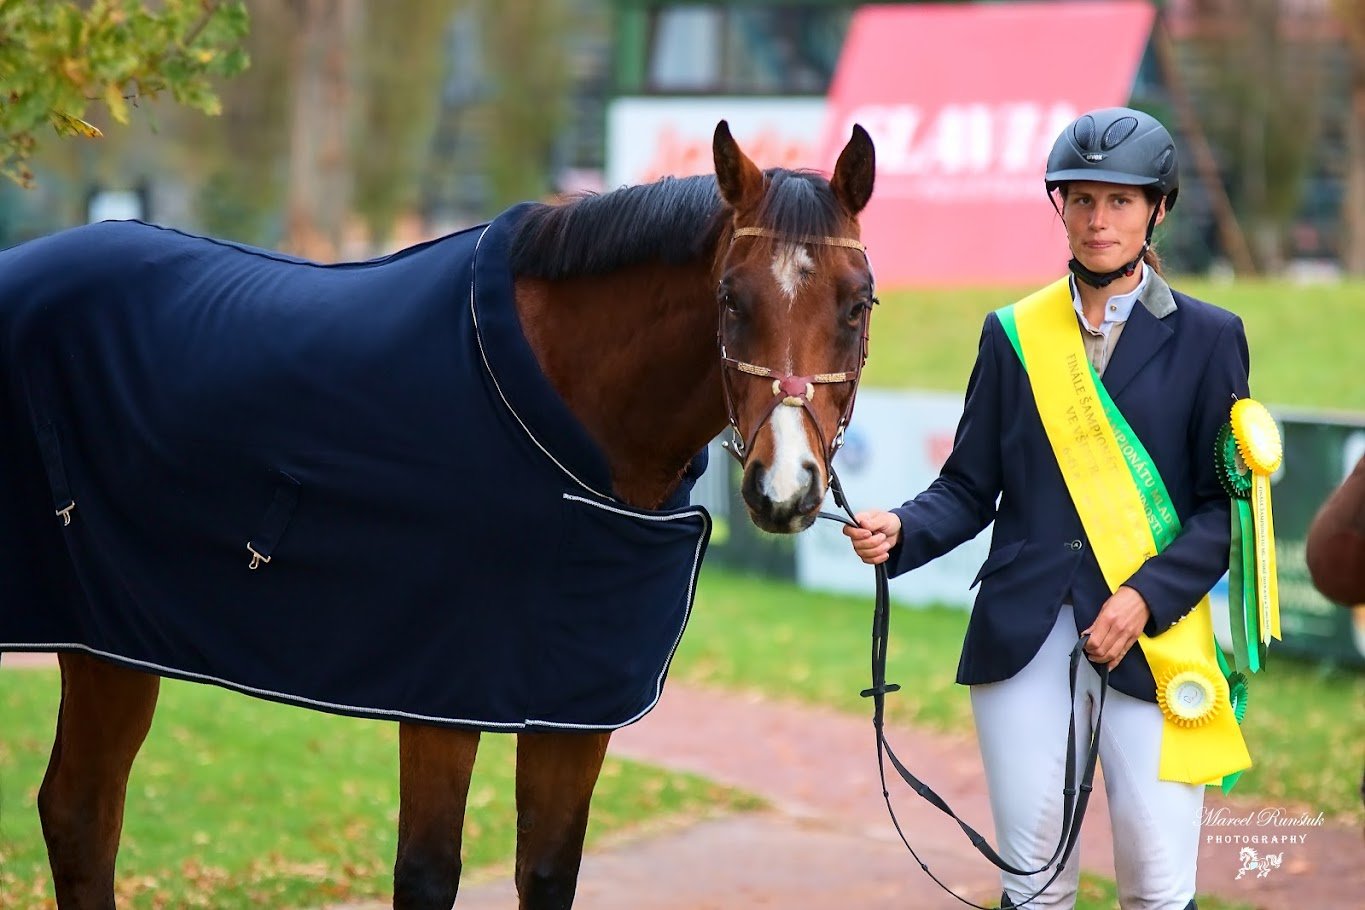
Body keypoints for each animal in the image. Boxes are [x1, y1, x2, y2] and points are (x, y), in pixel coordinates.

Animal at [0, 117, 873, 905]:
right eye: (729, 298)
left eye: (857, 304)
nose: (785, 485)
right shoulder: (443, 691)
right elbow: (425, 875)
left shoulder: (576, 705)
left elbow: (547, 873)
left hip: (112, 641)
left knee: (79, 812)